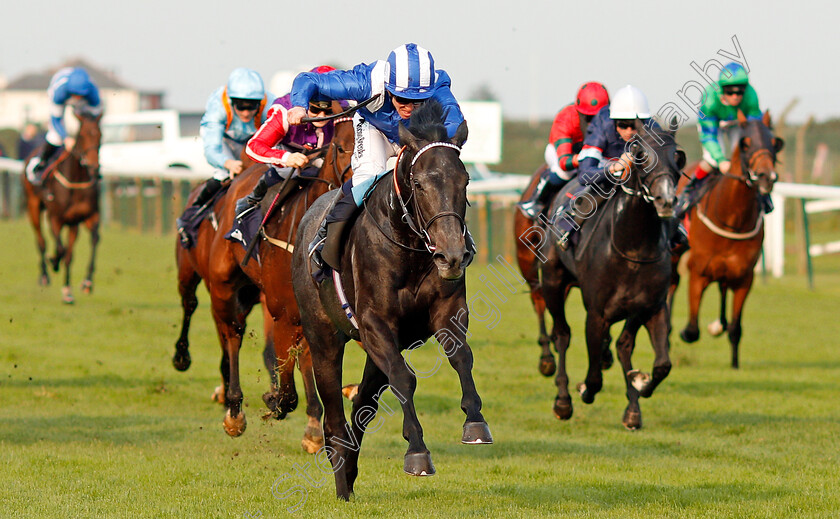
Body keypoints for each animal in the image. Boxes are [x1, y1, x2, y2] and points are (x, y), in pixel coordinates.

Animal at [22, 111, 101, 302]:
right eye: (83, 135)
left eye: (100, 135)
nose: (94, 168)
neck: (76, 180)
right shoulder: (55, 218)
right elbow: (60, 248)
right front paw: (54, 261)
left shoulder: (84, 218)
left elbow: (91, 242)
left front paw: (84, 284)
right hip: (33, 206)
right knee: (41, 241)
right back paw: (44, 275)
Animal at [172, 112, 352, 450]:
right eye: (340, 147)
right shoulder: (283, 306)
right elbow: (286, 375)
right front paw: (274, 399)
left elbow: (303, 357)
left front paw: (313, 422)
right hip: (211, 281)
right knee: (220, 325)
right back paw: (229, 404)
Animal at [290, 99, 492, 502]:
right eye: (418, 183)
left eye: (465, 181)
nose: (452, 255)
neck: (409, 245)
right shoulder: (374, 324)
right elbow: (404, 377)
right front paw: (417, 453)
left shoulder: (447, 312)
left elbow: (461, 356)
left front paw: (475, 422)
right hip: (324, 339)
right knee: (334, 415)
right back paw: (341, 484)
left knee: (361, 404)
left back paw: (350, 471)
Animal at [540, 122, 684, 430]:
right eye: (640, 154)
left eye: (678, 156)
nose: (666, 200)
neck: (633, 249)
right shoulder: (597, 313)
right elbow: (594, 376)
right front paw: (583, 389)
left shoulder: (651, 307)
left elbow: (661, 364)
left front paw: (640, 385)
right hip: (552, 284)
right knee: (562, 334)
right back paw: (563, 401)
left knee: (623, 346)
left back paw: (632, 409)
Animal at [668, 110, 784, 370]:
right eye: (746, 143)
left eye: (774, 143)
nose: (767, 177)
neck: (733, 217)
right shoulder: (699, 271)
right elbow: (692, 331)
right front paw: (686, 332)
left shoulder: (744, 277)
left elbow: (735, 327)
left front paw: (734, 363)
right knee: (672, 281)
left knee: (721, 288)